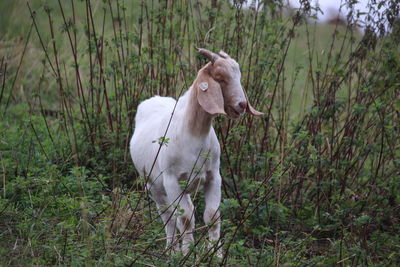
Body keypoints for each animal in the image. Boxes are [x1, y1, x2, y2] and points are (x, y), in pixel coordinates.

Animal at [130, 48, 262, 258]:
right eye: (220, 78)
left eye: (238, 75)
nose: (242, 105)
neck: (193, 133)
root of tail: (154, 99)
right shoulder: (172, 181)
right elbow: (184, 219)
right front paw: (185, 254)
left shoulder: (213, 176)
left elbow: (212, 216)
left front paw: (216, 255)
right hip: (153, 185)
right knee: (168, 216)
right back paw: (171, 250)